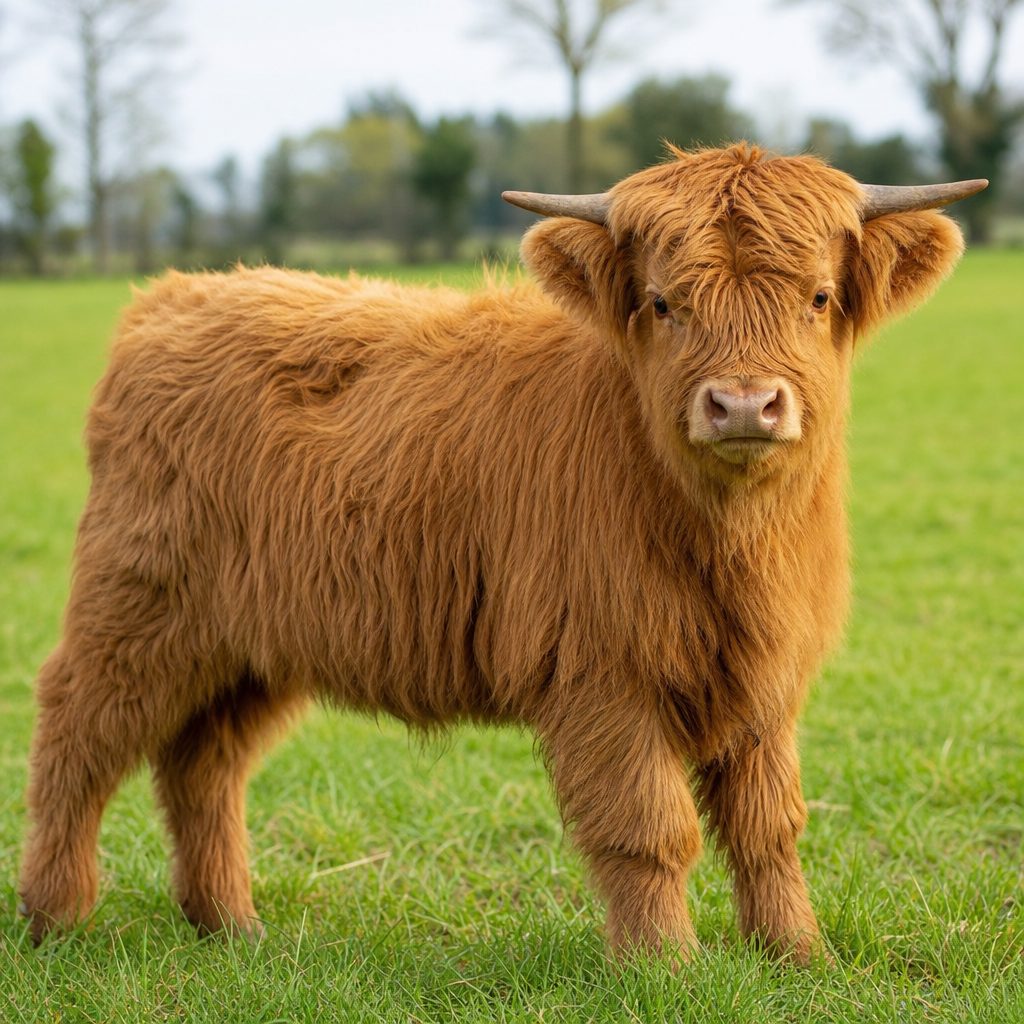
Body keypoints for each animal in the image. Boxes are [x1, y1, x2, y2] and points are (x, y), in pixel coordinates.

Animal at [19, 143, 983, 963]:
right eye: (664, 302)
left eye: (818, 298)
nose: (744, 405)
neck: (727, 538)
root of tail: (171, 298)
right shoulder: (604, 672)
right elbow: (651, 827)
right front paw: (665, 966)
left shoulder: (762, 675)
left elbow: (768, 825)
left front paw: (796, 954)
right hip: (137, 607)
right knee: (76, 733)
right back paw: (56, 917)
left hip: (252, 643)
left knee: (204, 766)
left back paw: (230, 926)